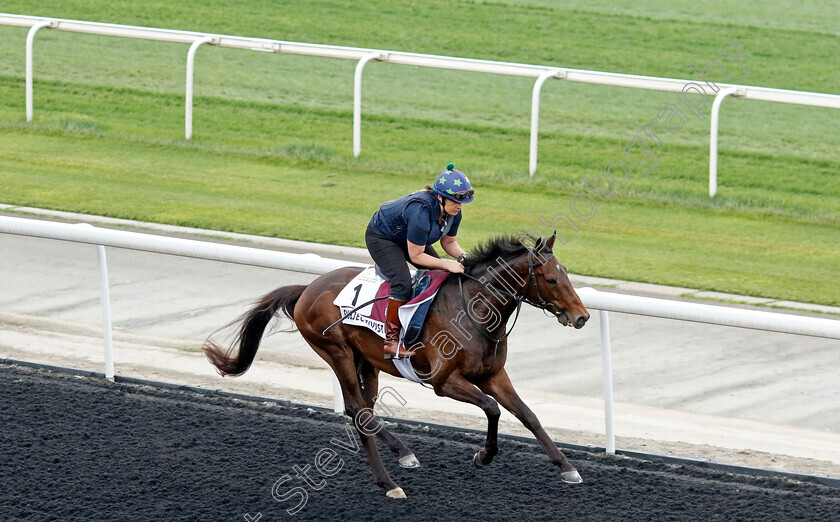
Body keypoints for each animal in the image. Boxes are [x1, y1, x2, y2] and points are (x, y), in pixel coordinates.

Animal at [203, 232, 588, 496]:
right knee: (358, 409)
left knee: (364, 409)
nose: (582, 316)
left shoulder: (493, 375)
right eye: (551, 279)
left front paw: (567, 467)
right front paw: (484, 455)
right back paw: (388, 482)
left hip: (367, 360)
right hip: (337, 351)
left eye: (567, 272)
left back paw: (402, 452)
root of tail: (308, 288)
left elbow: (528, 415)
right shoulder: (444, 382)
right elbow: (492, 409)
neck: (474, 310)